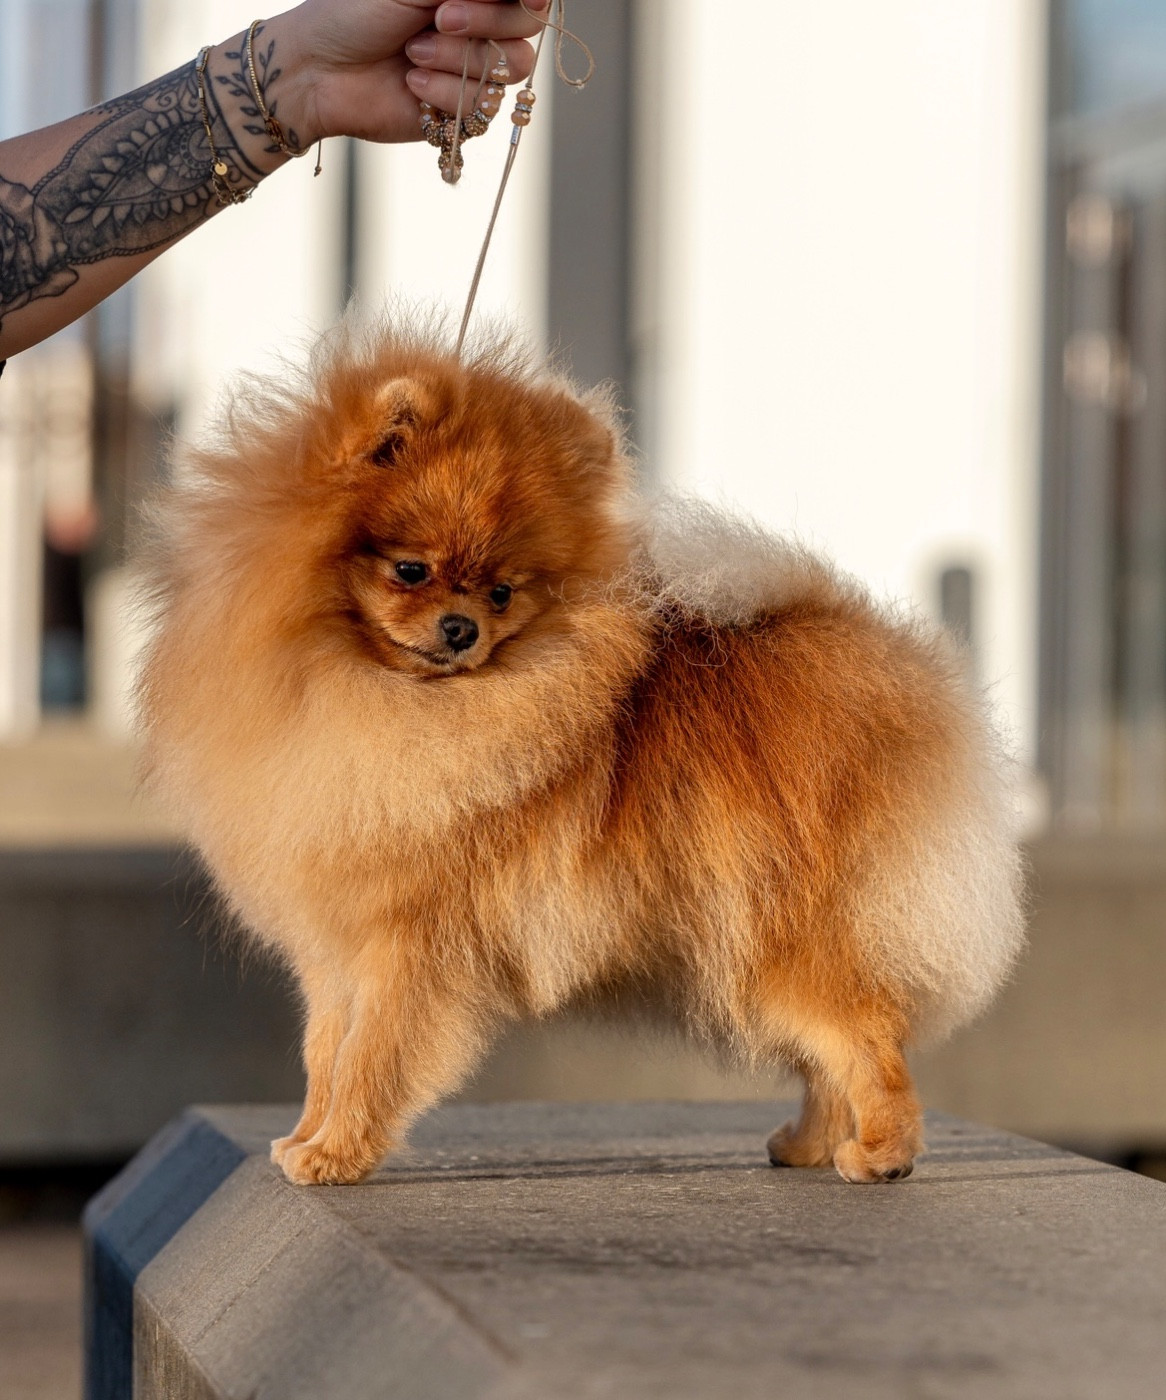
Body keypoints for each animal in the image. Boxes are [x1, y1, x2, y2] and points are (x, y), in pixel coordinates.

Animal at [139, 318, 1024, 1186]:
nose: (461, 629)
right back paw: (808, 1144)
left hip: (784, 937)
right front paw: (306, 1135)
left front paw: (336, 1154)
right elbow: (324, 1053)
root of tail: (880, 657)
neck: (371, 692)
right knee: (827, 1053)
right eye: (411, 570)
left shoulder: (410, 947)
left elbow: (371, 1058)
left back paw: (882, 1154)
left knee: (867, 1039)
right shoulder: (334, 952)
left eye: (502, 591)